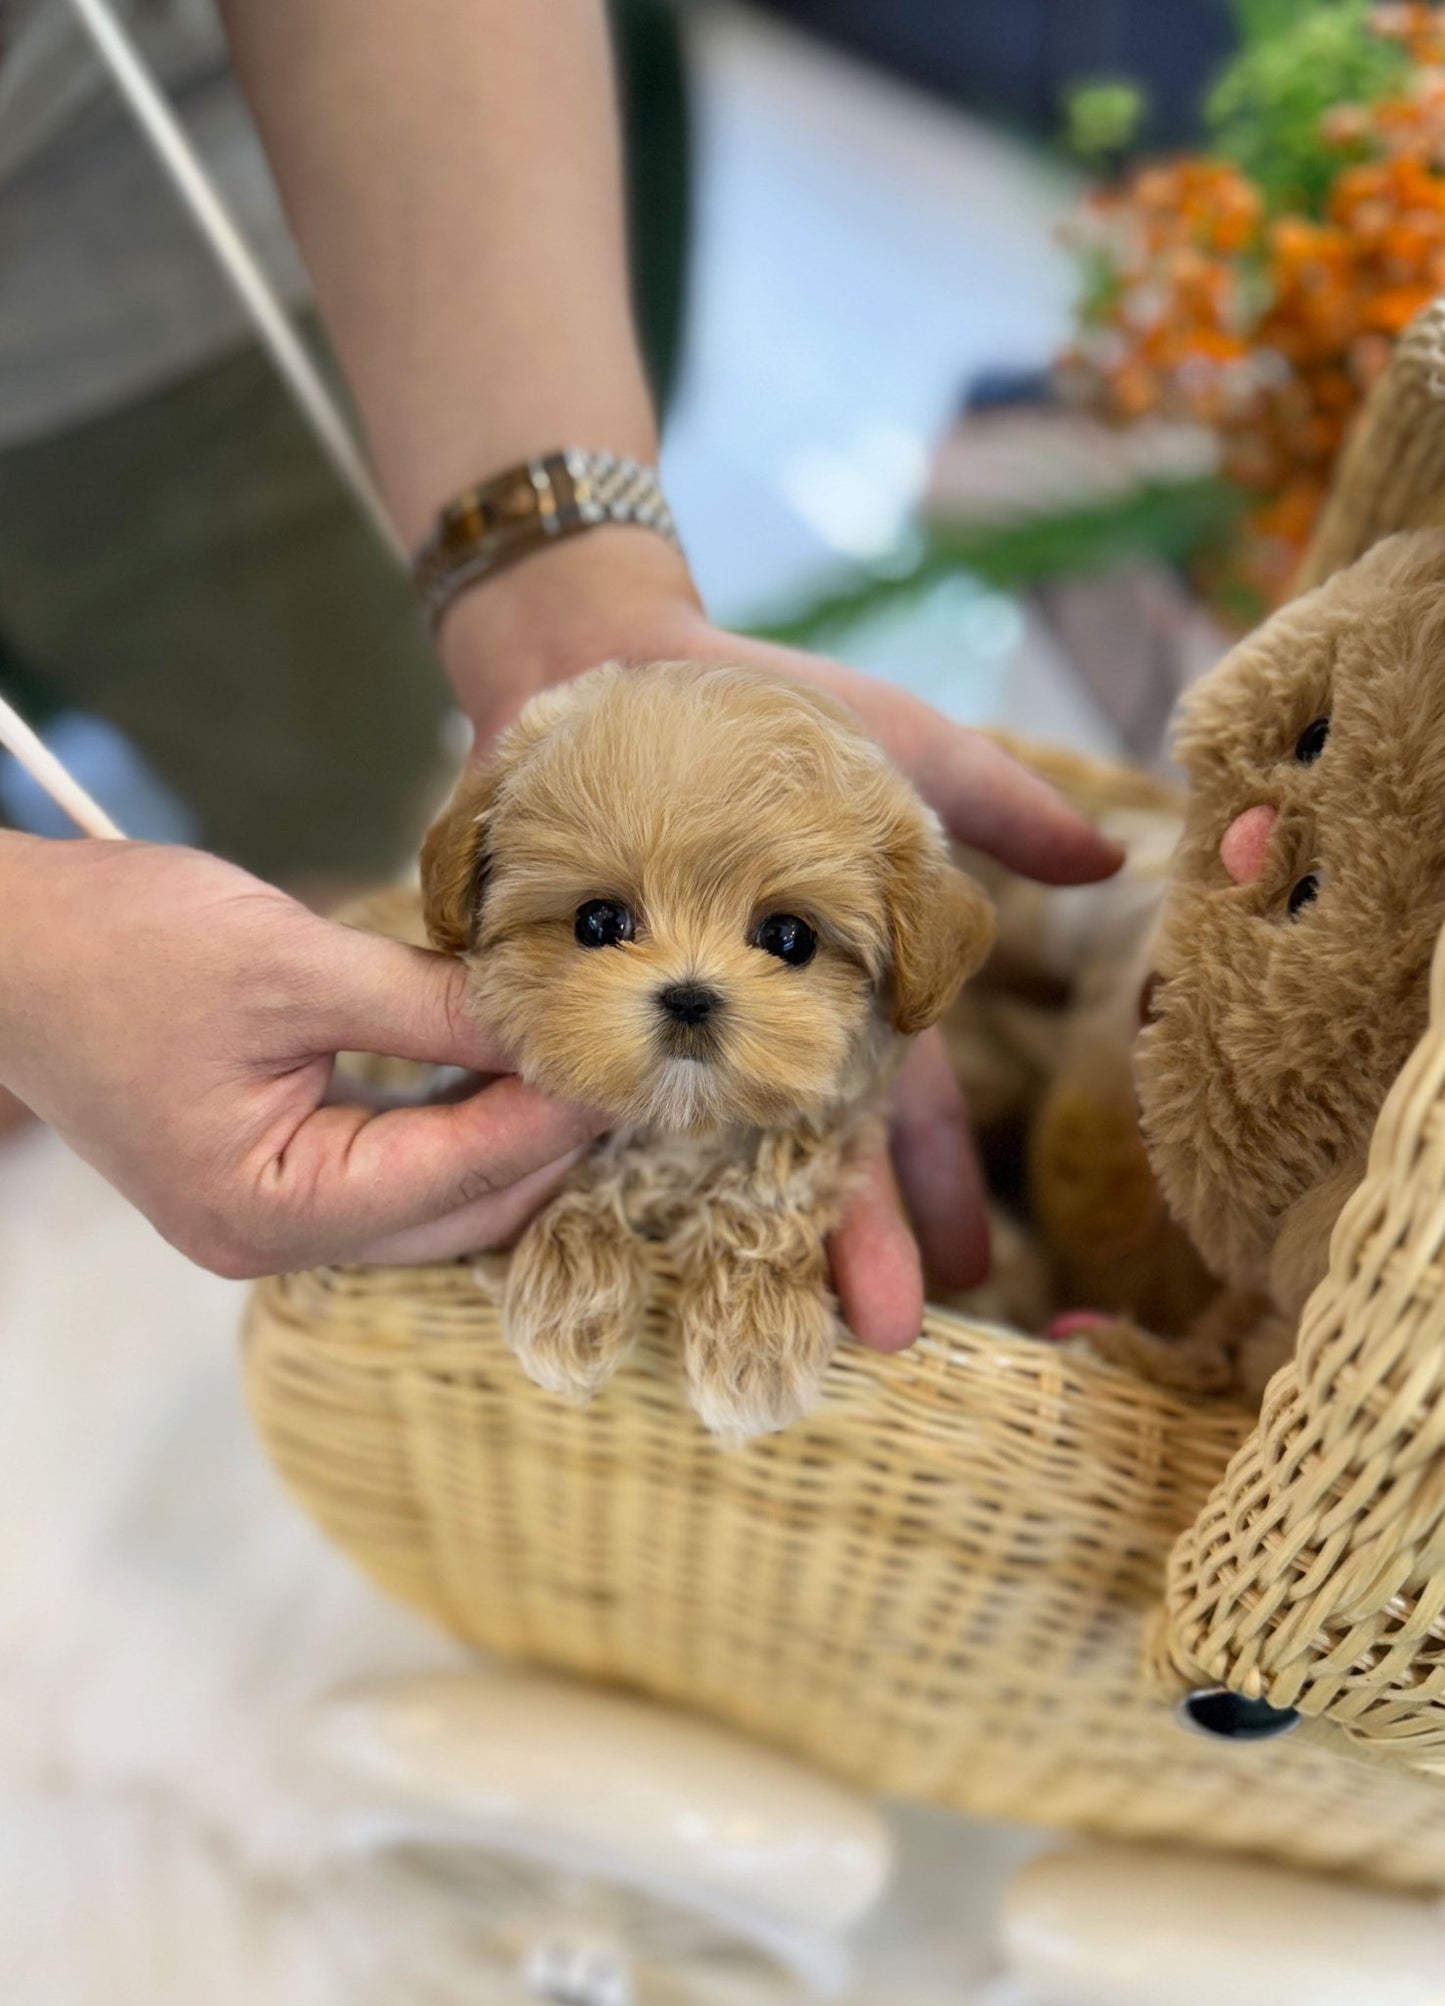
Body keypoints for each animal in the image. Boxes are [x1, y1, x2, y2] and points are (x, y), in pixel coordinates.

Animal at [417, 661, 995, 1444]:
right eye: (598, 922)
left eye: (788, 937)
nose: (690, 996)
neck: (686, 1125)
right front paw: (572, 1292)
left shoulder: (828, 1117)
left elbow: (772, 1184)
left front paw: (752, 1333)